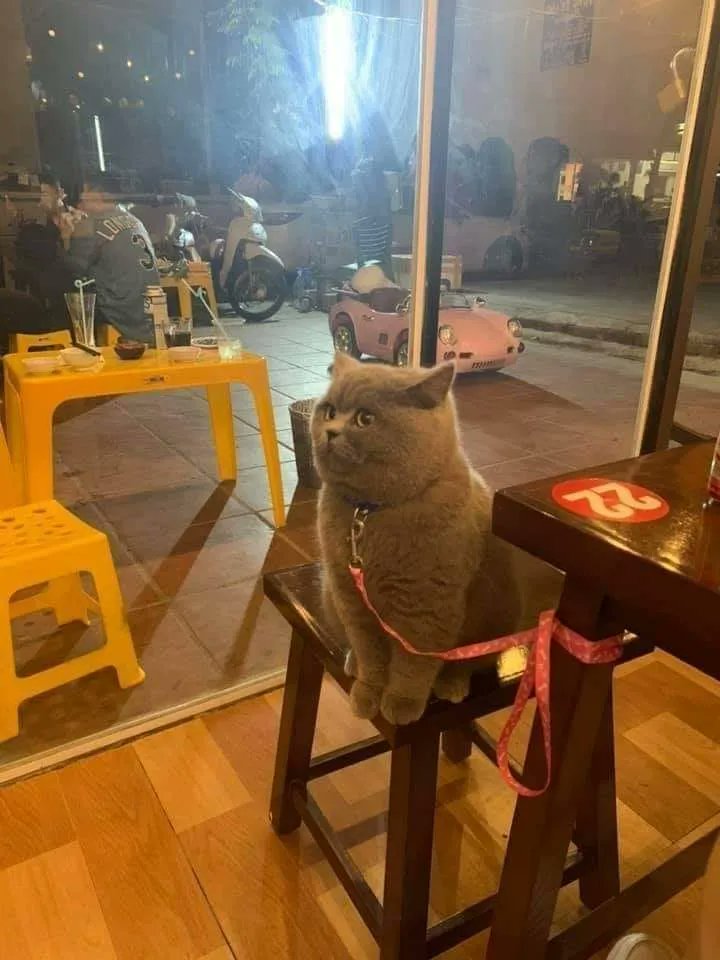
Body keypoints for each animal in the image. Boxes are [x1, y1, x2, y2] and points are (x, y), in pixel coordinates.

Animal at [312, 356, 520, 724]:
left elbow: (414, 666)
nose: (331, 431)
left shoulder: (426, 608)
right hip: (328, 596)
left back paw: (452, 685)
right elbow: (370, 654)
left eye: (365, 418)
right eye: (329, 411)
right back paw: (352, 662)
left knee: (468, 663)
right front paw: (367, 693)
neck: (368, 513)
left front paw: (401, 703)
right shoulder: (351, 599)